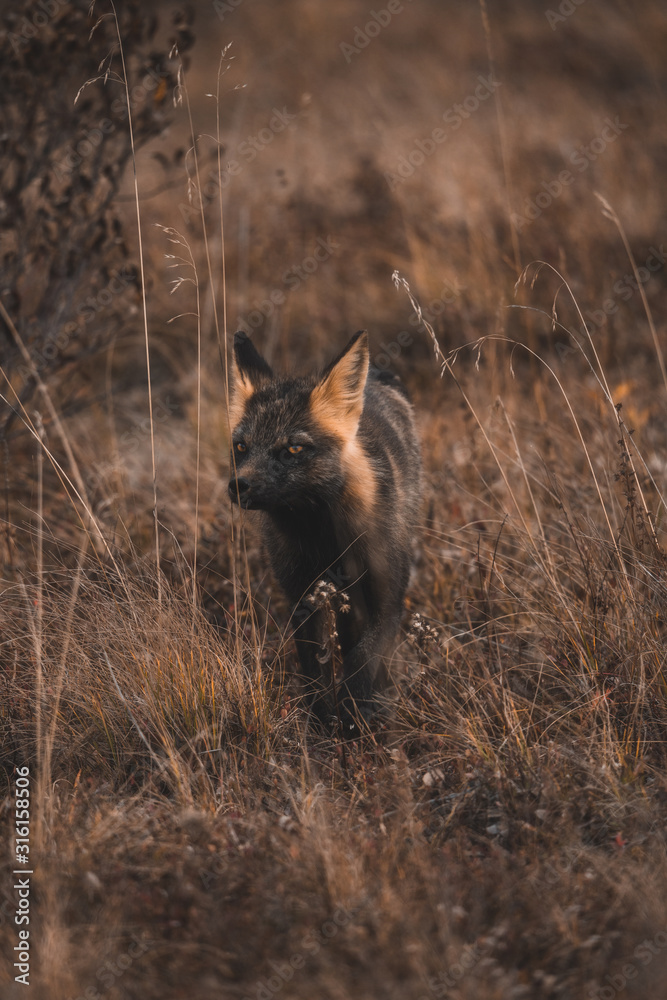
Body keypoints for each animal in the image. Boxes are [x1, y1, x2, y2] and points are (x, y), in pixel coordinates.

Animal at [227, 329, 422, 733]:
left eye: (292, 450)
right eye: (241, 446)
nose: (238, 486)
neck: (323, 538)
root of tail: (377, 373)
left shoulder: (388, 598)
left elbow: (362, 661)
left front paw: (353, 719)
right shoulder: (301, 597)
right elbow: (313, 672)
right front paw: (322, 726)